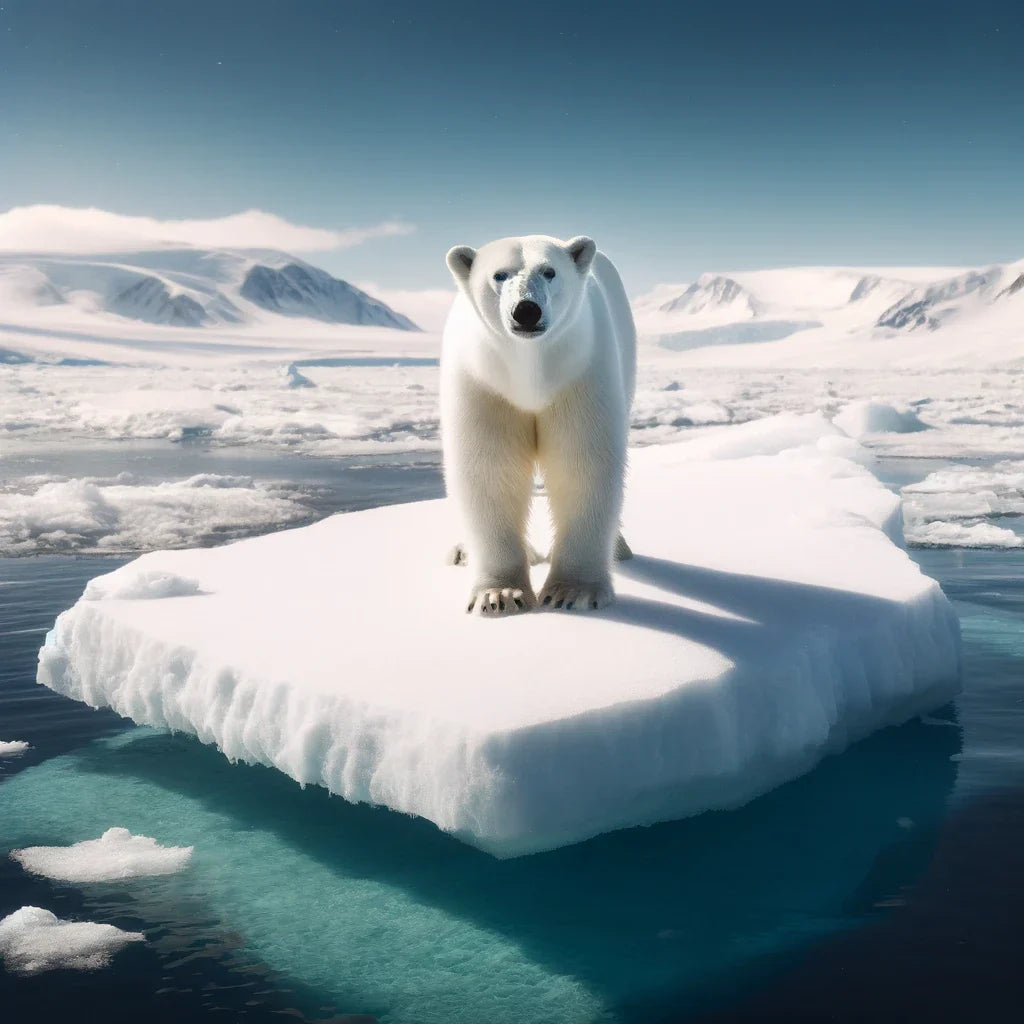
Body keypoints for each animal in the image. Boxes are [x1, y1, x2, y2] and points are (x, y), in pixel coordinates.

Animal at [441, 233, 636, 615]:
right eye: (499, 274)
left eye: (549, 271)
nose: (526, 310)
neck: (530, 368)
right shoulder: (483, 382)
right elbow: (488, 468)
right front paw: (500, 595)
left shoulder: (580, 371)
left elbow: (581, 464)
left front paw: (572, 592)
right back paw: (463, 551)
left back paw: (619, 547)